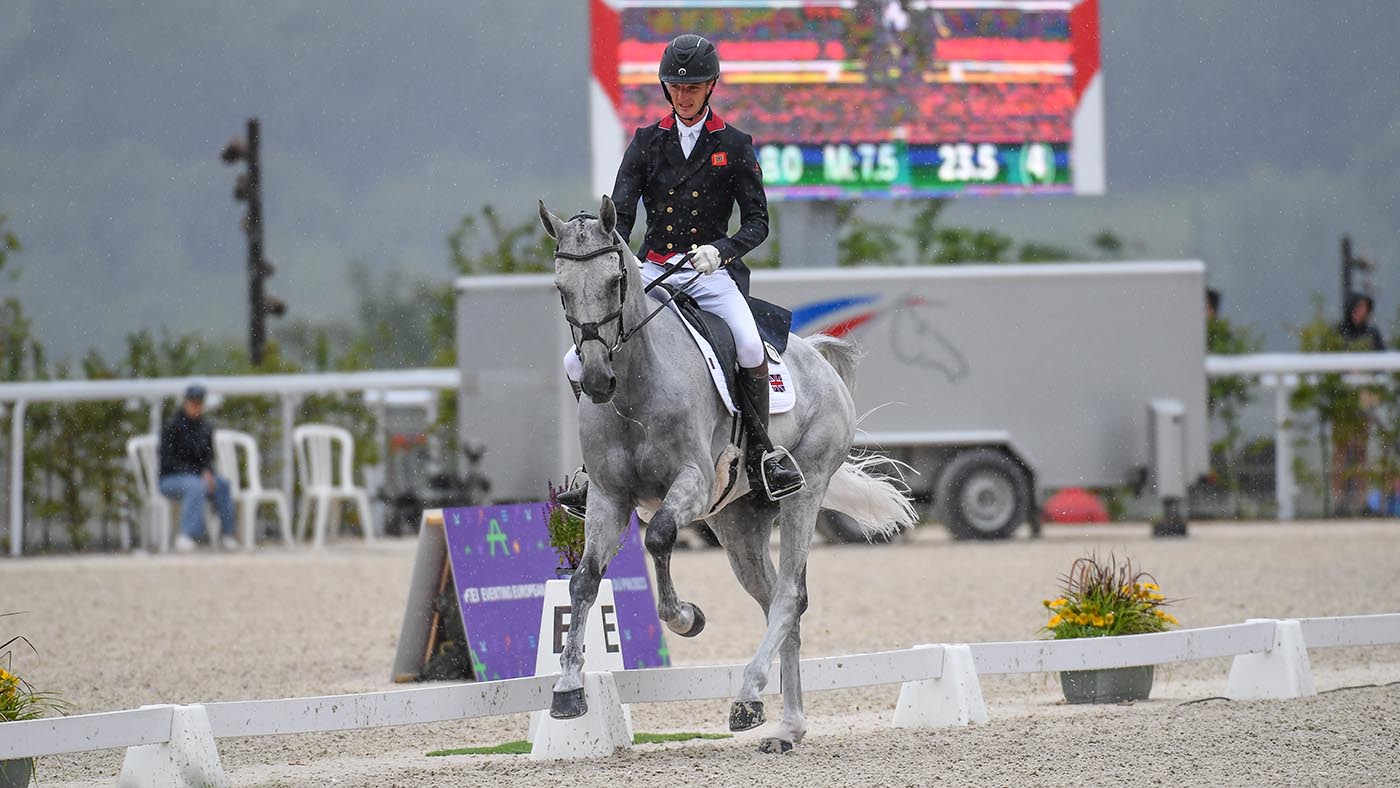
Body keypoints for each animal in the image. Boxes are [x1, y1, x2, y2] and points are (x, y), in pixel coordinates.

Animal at [537, 195, 918, 750]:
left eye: (614, 282)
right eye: (561, 288)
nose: (596, 380)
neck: (635, 386)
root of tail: (816, 357)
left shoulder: (692, 483)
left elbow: (660, 537)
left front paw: (685, 618)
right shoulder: (608, 498)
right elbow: (584, 582)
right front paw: (567, 691)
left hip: (804, 491)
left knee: (788, 595)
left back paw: (747, 696)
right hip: (737, 521)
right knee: (778, 601)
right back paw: (786, 726)